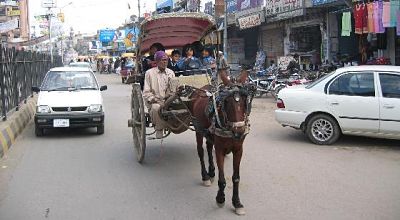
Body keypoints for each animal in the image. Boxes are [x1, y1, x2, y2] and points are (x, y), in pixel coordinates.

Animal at [187, 70, 255, 215]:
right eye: (227, 101)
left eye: (245, 100)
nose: (239, 132)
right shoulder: (220, 150)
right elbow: (222, 179)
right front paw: (220, 198)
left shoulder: (238, 150)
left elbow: (236, 177)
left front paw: (237, 203)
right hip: (198, 129)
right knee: (201, 152)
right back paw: (205, 176)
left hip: (208, 132)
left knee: (208, 147)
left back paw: (211, 171)